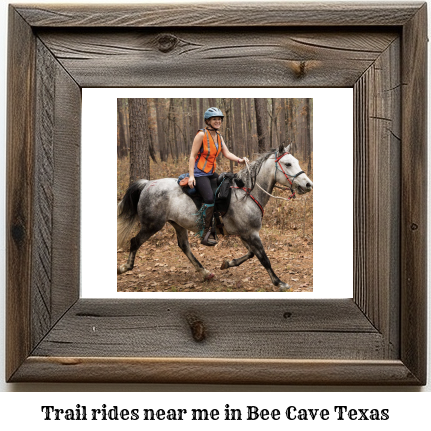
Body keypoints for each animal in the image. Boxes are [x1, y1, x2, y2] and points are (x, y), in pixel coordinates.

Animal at [118, 144, 314, 290]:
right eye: (288, 164)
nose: (308, 184)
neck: (246, 193)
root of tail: (147, 184)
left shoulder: (245, 233)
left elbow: (251, 254)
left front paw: (227, 263)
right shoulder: (251, 233)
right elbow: (263, 258)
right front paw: (279, 282)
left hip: (177, 224)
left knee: (184, 246)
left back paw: (205, 272)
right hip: (152, 225)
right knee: (135, 242)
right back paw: (124, 267)